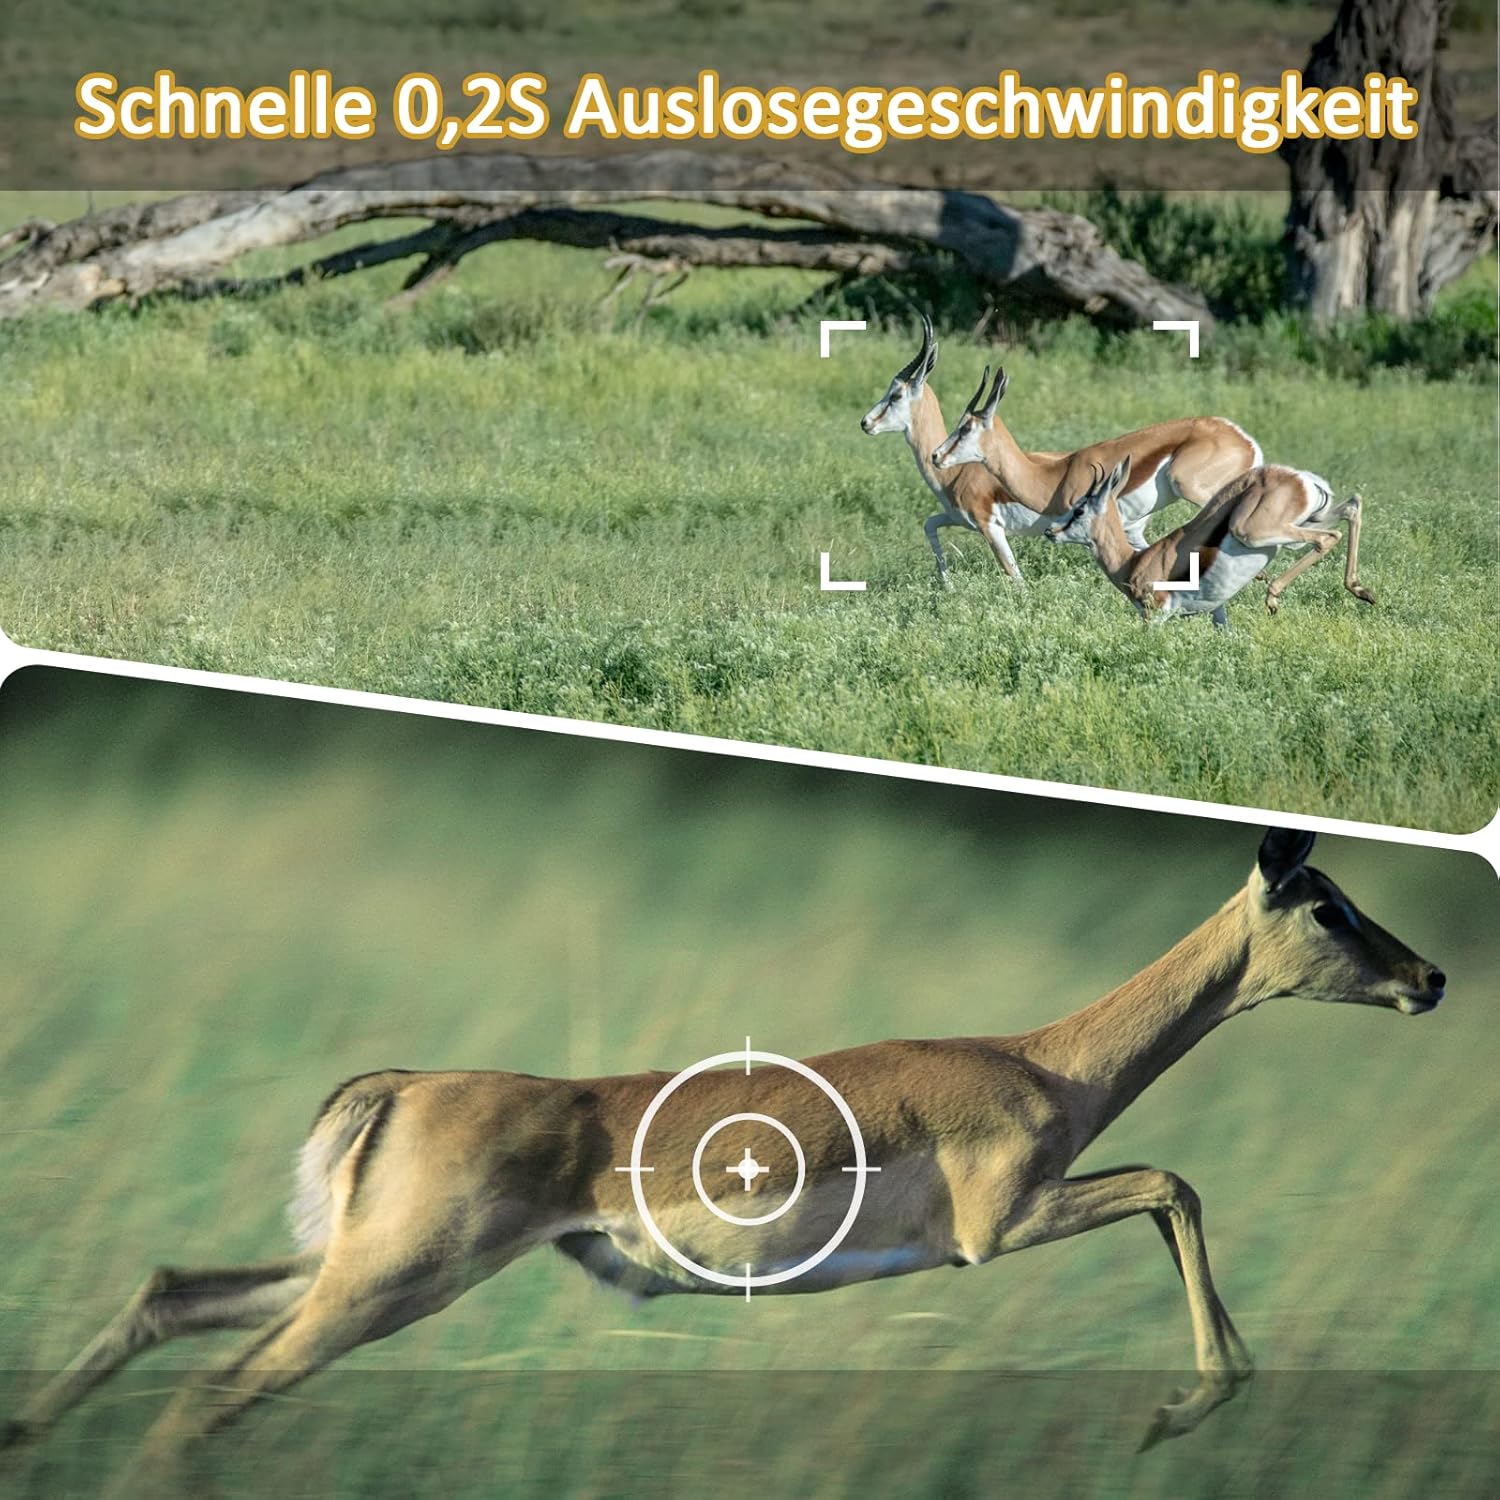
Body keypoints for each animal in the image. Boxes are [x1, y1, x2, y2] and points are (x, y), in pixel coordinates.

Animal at [2, 827, 1445, 1483]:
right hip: (393, 1281)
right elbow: (1176, 1183)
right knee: (218, 1388)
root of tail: (403, 1084)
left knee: (171, 1296)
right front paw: (1177, 1409)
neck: (1046, 1062)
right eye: (1327, 904)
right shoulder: (1000, 1229)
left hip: (354, 1268)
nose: (1429, 978)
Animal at [860, 316, 1070, 587]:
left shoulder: (991, 528)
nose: (865, 422)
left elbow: (1017, 578)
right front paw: (948, 585)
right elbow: (928, 525)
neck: (957, 472)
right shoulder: (956, 518)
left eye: (896, 394)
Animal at [930, 366, 1264, 557]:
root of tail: (1243, 439)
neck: (1055, 477)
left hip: (1197, 490)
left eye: (966, 427)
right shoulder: (1132, 531)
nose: (936, 456)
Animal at [1045, 456, 1376, 627]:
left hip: (1252, 532)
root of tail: (1300, 478)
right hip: (1305, 521)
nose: (1051, 532)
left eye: (1079, 509)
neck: (1132, 564)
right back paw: (1362, 590)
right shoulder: (1217, 610)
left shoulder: (1156, 616)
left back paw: (1272, 598)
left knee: (1328, 538)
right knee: (1353, 506)